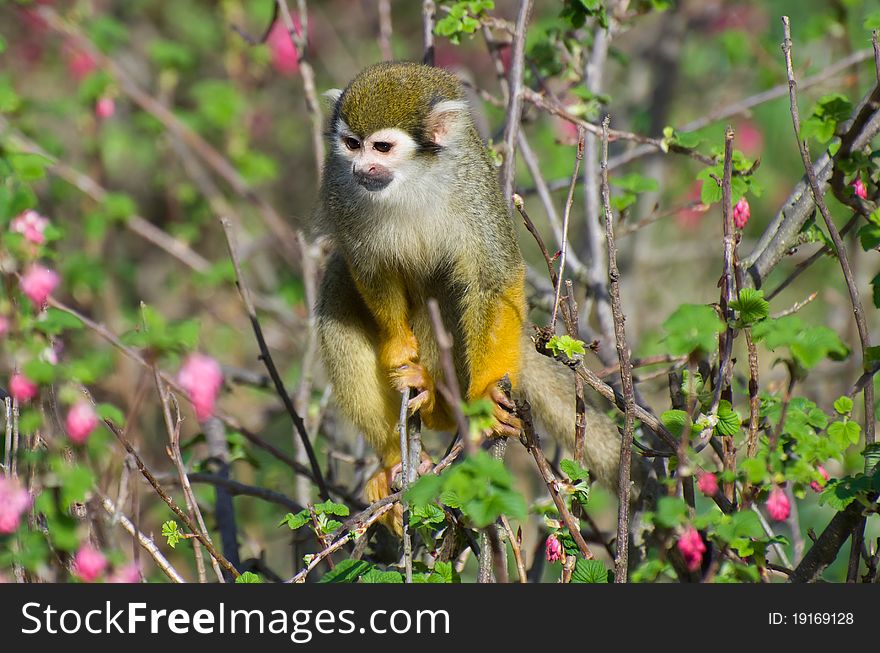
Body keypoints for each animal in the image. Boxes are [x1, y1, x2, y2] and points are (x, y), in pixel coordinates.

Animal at [316, 62, 624, 528]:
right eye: (352, 144)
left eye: (381, 147)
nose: (362, 169)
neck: (414, 180)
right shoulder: (339, 187)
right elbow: (369, 266)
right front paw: (397, 343)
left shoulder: (471, 185)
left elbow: (493, 281)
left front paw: (481, 403)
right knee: (337, 287)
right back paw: (394, 458)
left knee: (449, 287)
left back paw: (440, 403)